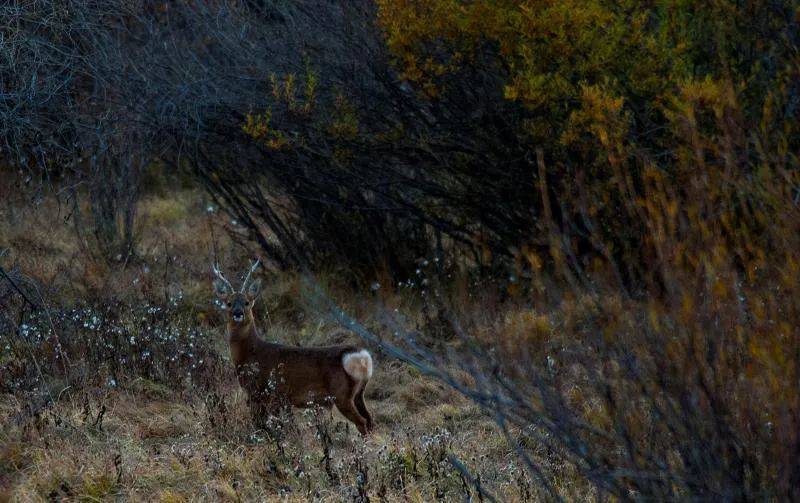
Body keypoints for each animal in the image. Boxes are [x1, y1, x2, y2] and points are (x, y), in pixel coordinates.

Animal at [212, 262, 376, 436]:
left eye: (247, 302)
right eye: (229, 303)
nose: (238, 313)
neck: (250, 353)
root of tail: (362, 356)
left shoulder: (260, 391)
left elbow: (258, 424)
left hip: (341, 394)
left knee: (362, 422)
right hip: (359, 393)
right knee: (370, 420)